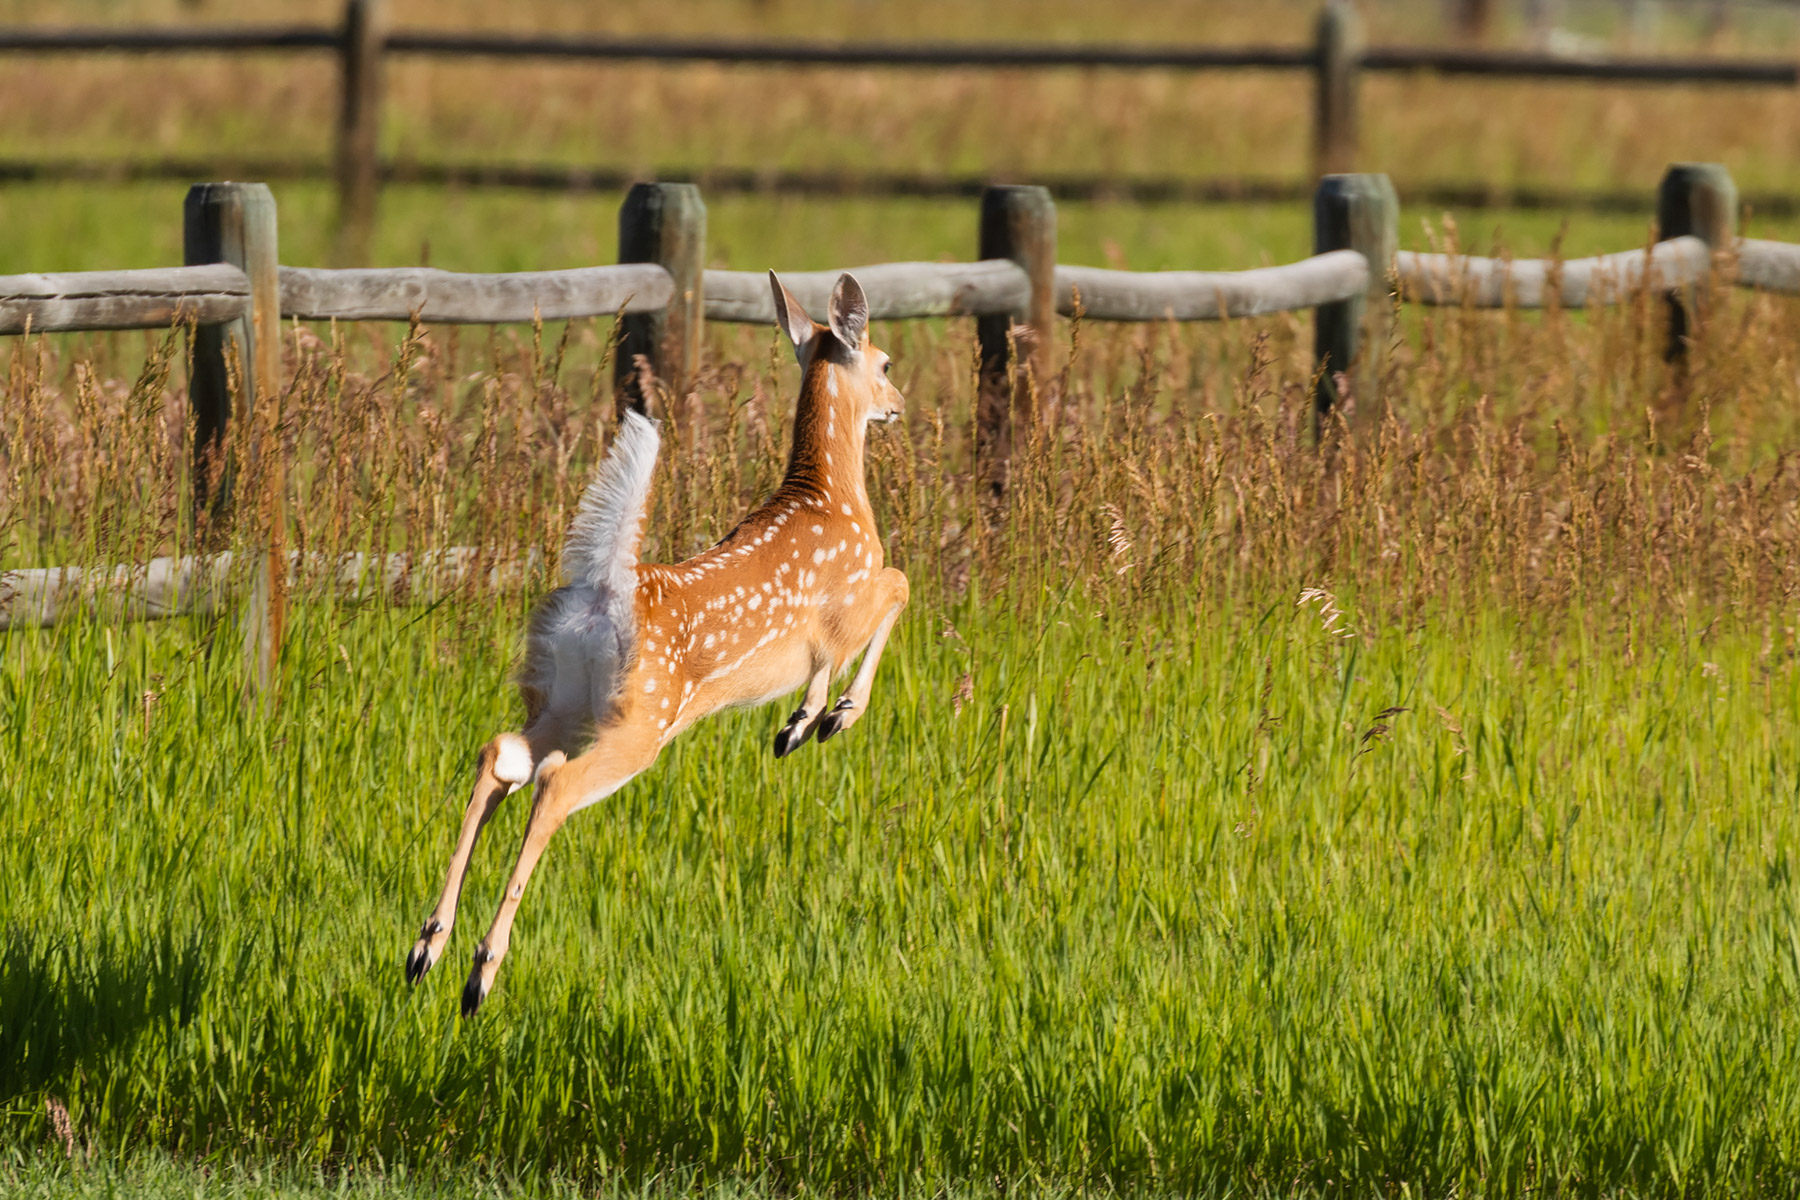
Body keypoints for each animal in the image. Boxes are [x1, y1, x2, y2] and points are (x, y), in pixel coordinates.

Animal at [403, 271, 909, 1017]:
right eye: (884, 363)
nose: (899, 406)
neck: (833, 496)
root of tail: (604, 590)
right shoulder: (846, 600)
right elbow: (899, 584)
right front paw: (827, 717)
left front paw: (800, 723)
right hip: (644, 720)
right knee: (553, 784)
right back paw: (480, 971)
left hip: (563, 699)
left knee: (500, 756)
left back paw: (427, 947)